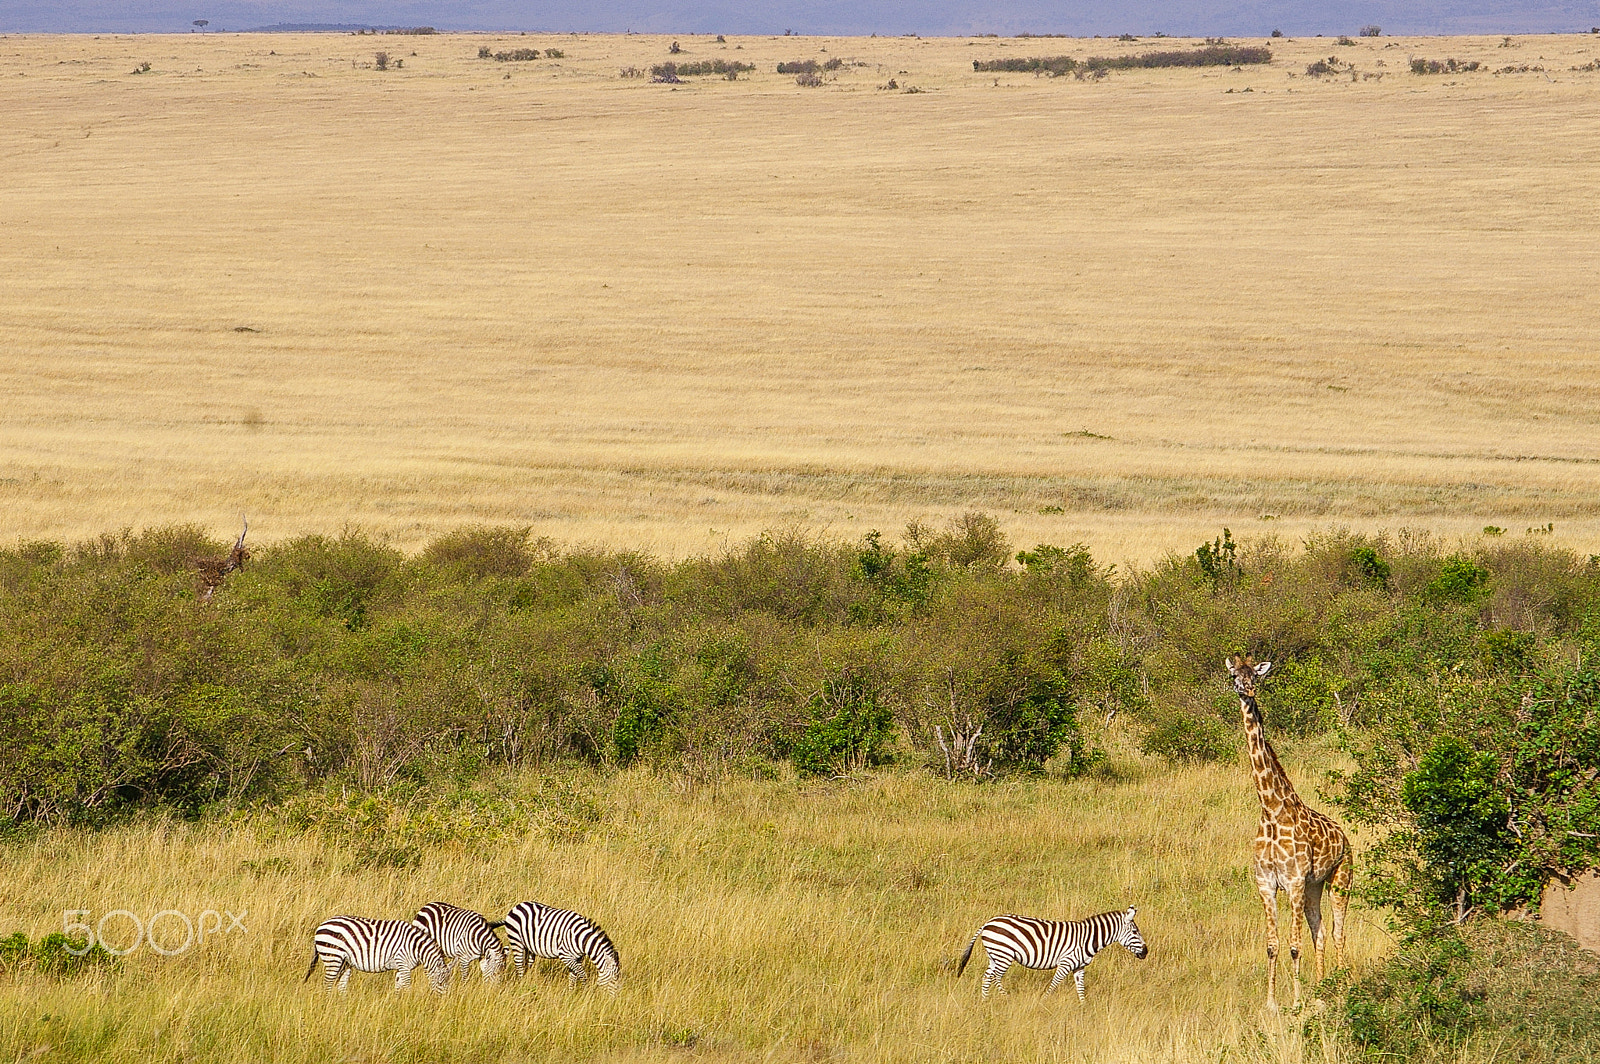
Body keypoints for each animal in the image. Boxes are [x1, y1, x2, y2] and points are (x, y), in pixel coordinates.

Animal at [302, 908, 454, 992]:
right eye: (441, 983)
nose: (441, 1002)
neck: (416, 947)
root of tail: (321, 926)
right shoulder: (403, 963)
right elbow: (407, 987)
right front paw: (407, 1005)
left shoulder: (400, 967)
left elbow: (398, 987)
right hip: (333, 957)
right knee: (327, 984)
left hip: (345, 962)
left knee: (341, 986)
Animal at [953, 902, 1145, 998]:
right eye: (1135, 932)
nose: (1146, 952)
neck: (1087, 939)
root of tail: (988, 922)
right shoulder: (1066, 963)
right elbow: (1053, 985)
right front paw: (1043, 1001)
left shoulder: (1079, 967)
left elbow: (1080, 989)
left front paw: (1083, 1008)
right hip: (1004, 954)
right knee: (996, 978)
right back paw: (1005, 998)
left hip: (995, 955)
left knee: (987, 977)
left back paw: (985, 1001)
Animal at [1222, 652, 1350, 1011]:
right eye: (1234, 675)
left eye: (1256, 675)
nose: (1246, 689)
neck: (1271, 811)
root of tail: (1346, 838)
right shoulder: (1266, 884)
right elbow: (1272, 945)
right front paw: (1271, 1003)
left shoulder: (1292, 882)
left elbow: (1294, 945)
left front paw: (1294, 1002)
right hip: (1314, 887)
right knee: (1320, 931)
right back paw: (1320, 990)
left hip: (1340, 880)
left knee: (1338, 932)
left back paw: (1342, 988)